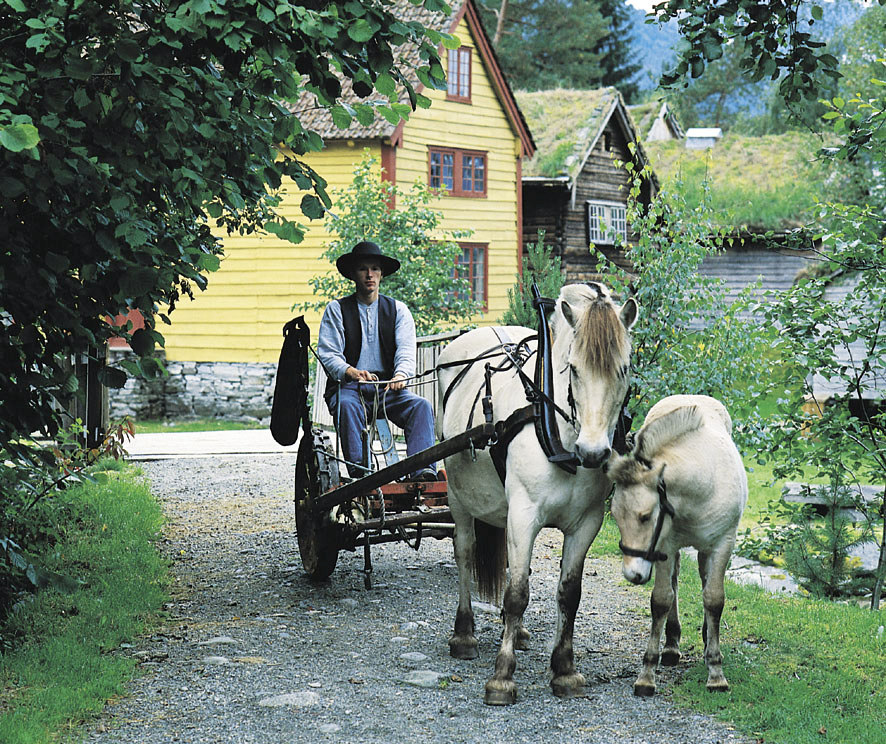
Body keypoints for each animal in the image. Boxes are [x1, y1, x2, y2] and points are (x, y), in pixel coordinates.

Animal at [438, 284, 640, 704]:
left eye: (624, 369)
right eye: (573, 368)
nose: (593, 452)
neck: (559, 436)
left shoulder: (587, 523)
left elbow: (569, 593)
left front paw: (564, 669)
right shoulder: (523, 514)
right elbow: (517, 593)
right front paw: (502, 676)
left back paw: (516, 633)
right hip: (457, 494)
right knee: (464, 553)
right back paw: (464, 633)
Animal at [608, 396, 744, 696]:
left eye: (645, 516)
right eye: (615, 516)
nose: (632, 574)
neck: (702, 485)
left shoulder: (723, 544)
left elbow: (714, 599)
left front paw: (716, 671)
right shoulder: (665, 547)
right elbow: (661, 600)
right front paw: (647, 674)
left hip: (706, 550)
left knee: (704, 580)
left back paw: (706, 638)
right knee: (674, 583)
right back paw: (670, 646)